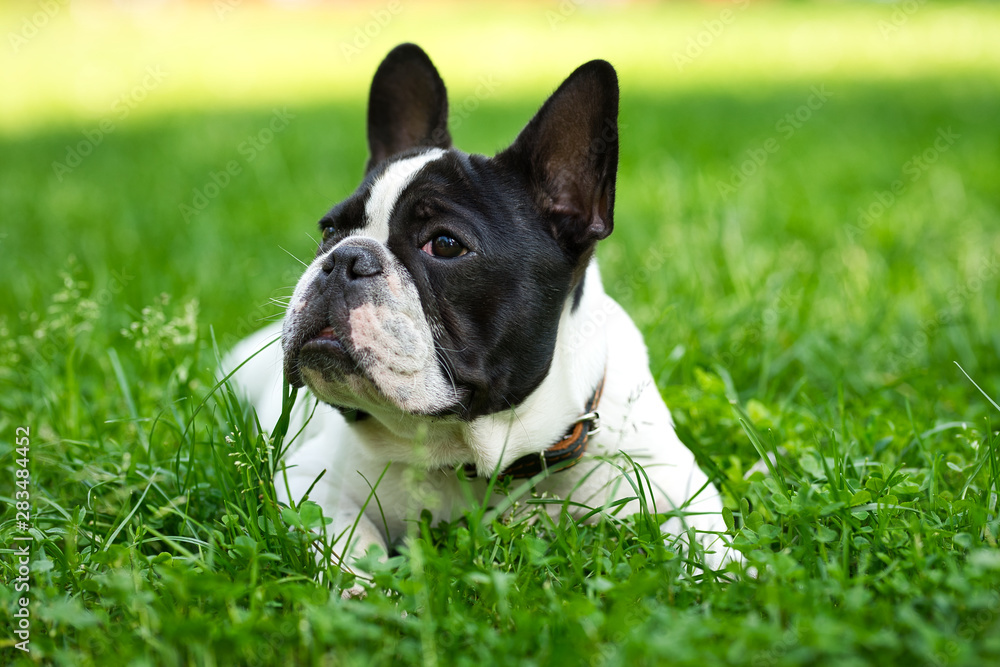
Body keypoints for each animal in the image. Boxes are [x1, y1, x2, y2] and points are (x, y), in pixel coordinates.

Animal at [223, 43, 732, 576]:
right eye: (330, 230)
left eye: (445, 244)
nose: (344, 259)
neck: (477, 453)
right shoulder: (311, 485)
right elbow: (349, 544)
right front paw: (366, 587)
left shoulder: (675, 485)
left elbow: (712, 547)